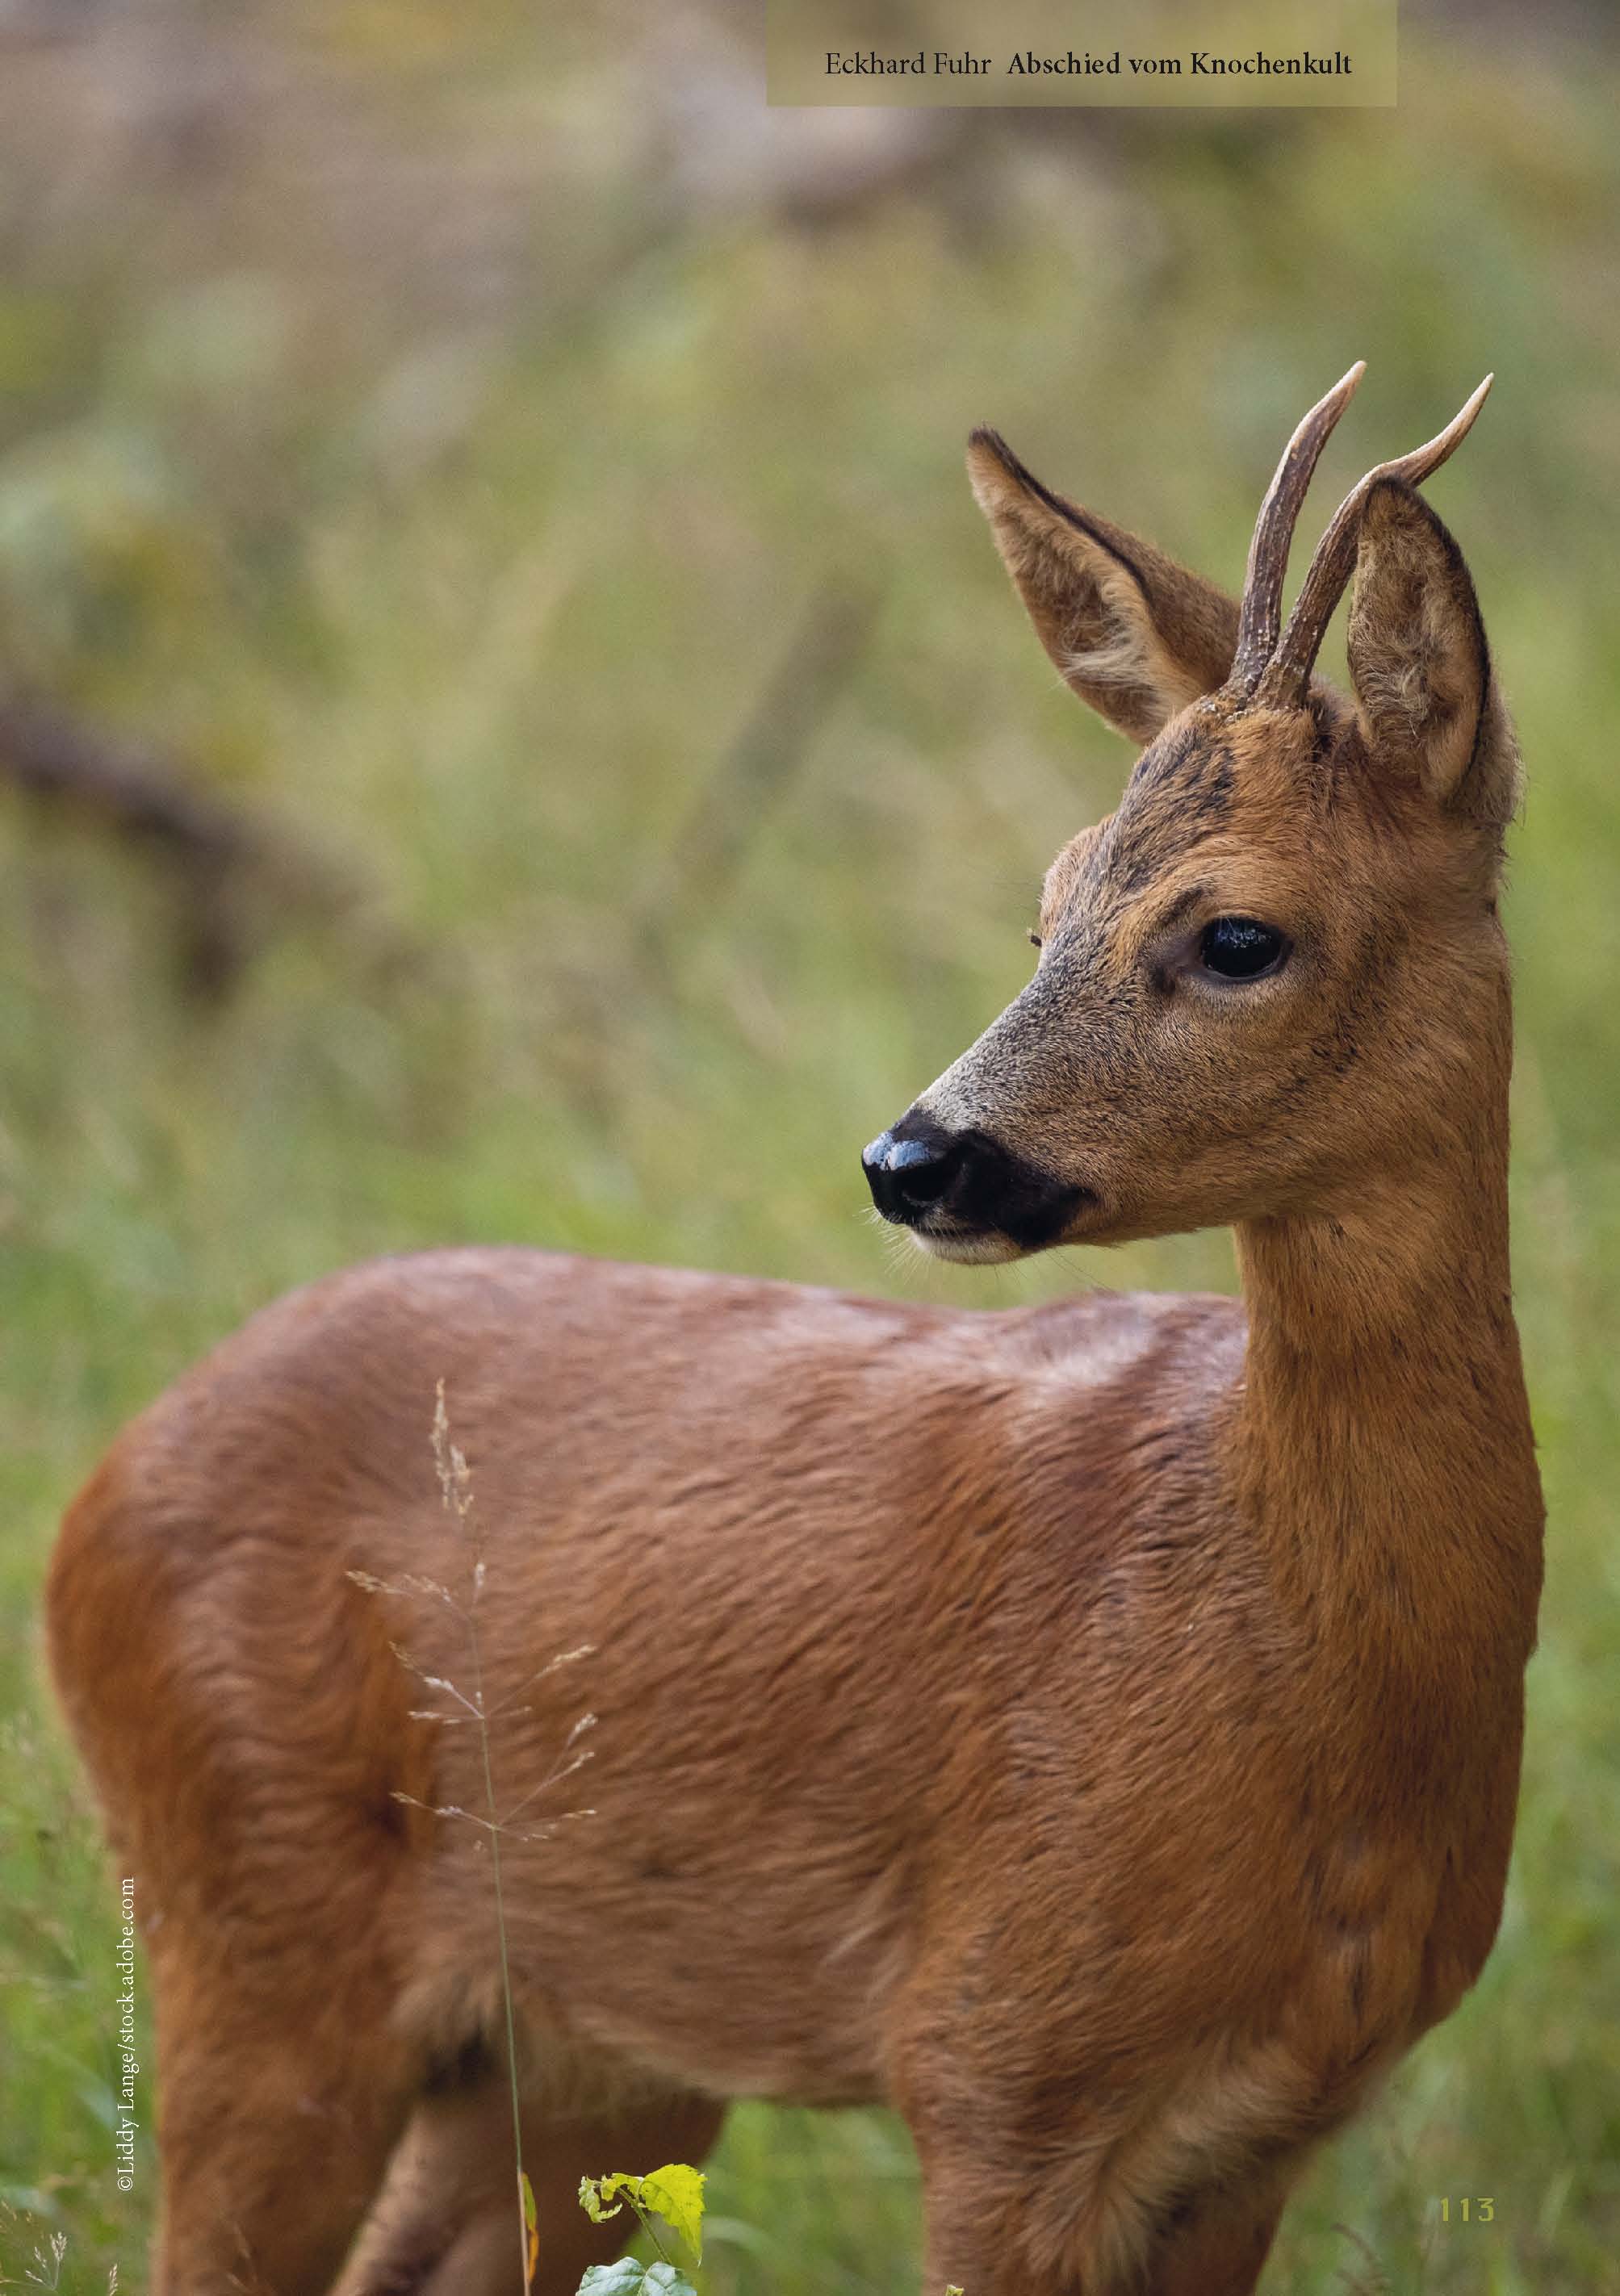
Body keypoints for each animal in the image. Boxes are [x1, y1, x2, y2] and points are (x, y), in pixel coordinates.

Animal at [40, 362, 1544, 2296]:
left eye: (1233, 933)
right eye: (1045, 901)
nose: (914, 1158)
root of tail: (94, 1489)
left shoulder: (1258, 2137)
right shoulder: (991, 2061)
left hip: (572, 2051)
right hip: (248, 1930)